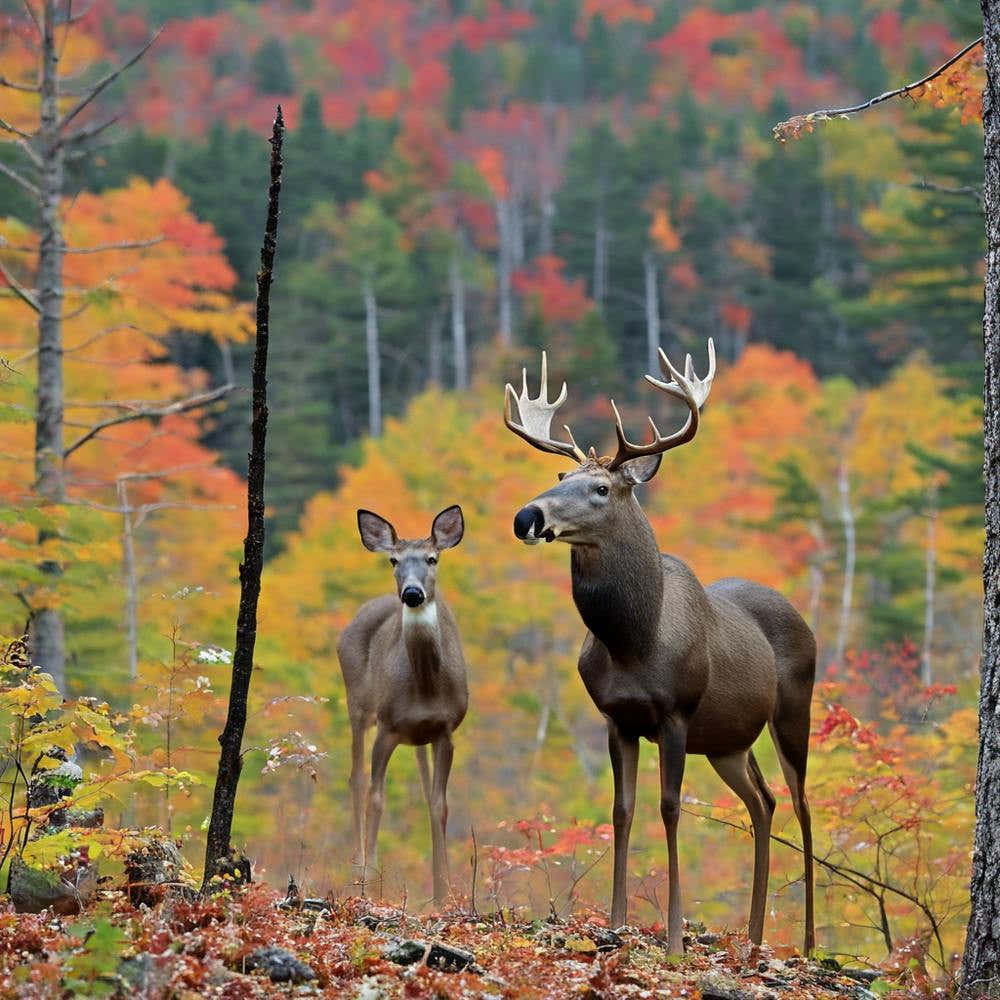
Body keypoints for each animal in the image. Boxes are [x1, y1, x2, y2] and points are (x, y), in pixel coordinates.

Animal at [336, 505, 468, 905]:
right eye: (393, 560)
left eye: (432, 558)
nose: (412, 592)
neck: (425, 687)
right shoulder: (388, 725)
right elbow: (376, 797)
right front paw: (369, 882)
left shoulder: (445, 729)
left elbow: (440, 805)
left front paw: (443, 893)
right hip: (358, 706)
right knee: (356, 779)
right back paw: (358, 867)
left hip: (418, 739)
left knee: (425, 793)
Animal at [503, 344, 816, 956]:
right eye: (560, 474)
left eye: (601, 489)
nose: (527, 516)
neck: (634, 641)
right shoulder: (616, 717)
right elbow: (622, 810)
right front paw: (616, 923)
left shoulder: (677, 713)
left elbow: (669, 809)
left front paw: (673, 938)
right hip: (728, 742)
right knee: (762, 801)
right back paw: (752, 936)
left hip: (793, 709)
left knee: (801, 804)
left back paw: (811, 943)